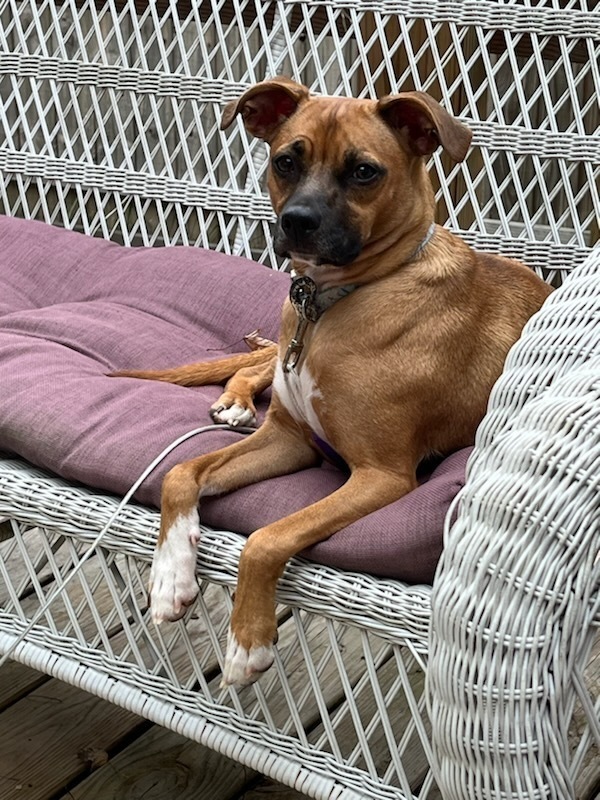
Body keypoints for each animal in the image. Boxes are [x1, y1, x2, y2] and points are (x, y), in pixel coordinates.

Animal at [112, 79, 552, 688]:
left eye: (364, 172)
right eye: (285, 161)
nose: (297, 221)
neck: (328, 303)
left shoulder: (380, 476)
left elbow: (267, 536)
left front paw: (248, 642)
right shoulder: (287, 439)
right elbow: (181, 473)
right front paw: (170, 576)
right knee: (252, 368)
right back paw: (234, 401)